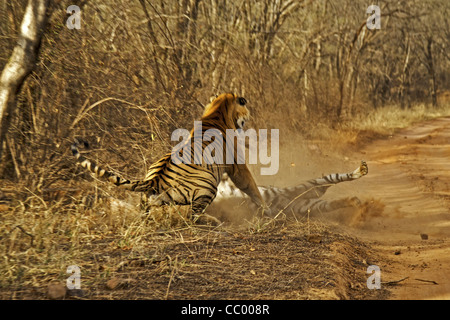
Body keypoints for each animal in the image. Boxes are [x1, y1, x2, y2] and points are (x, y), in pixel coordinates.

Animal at [70, 92, 268, 220]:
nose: (247, 117)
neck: (217, 111)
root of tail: (154, 180)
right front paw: (265, 210)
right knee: (192, 218)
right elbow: (251, 186)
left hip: (148, 199)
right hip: (208, 186)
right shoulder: (237, 166)